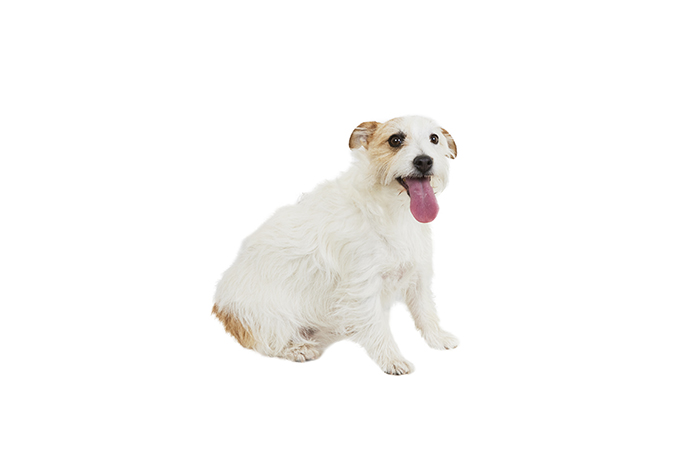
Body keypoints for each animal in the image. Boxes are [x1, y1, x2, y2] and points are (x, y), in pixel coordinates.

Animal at [213, 115, 459, 375]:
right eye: (395, 140)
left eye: (434, 138)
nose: (424, 161)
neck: (391, 209)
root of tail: (220, 307)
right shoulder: (362, 286)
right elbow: (379, 327)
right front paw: (391, 359)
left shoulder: (418, 273)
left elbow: (425, 311)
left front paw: (438, 338)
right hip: (270, 317)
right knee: (266, 342)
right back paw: (297, 349)